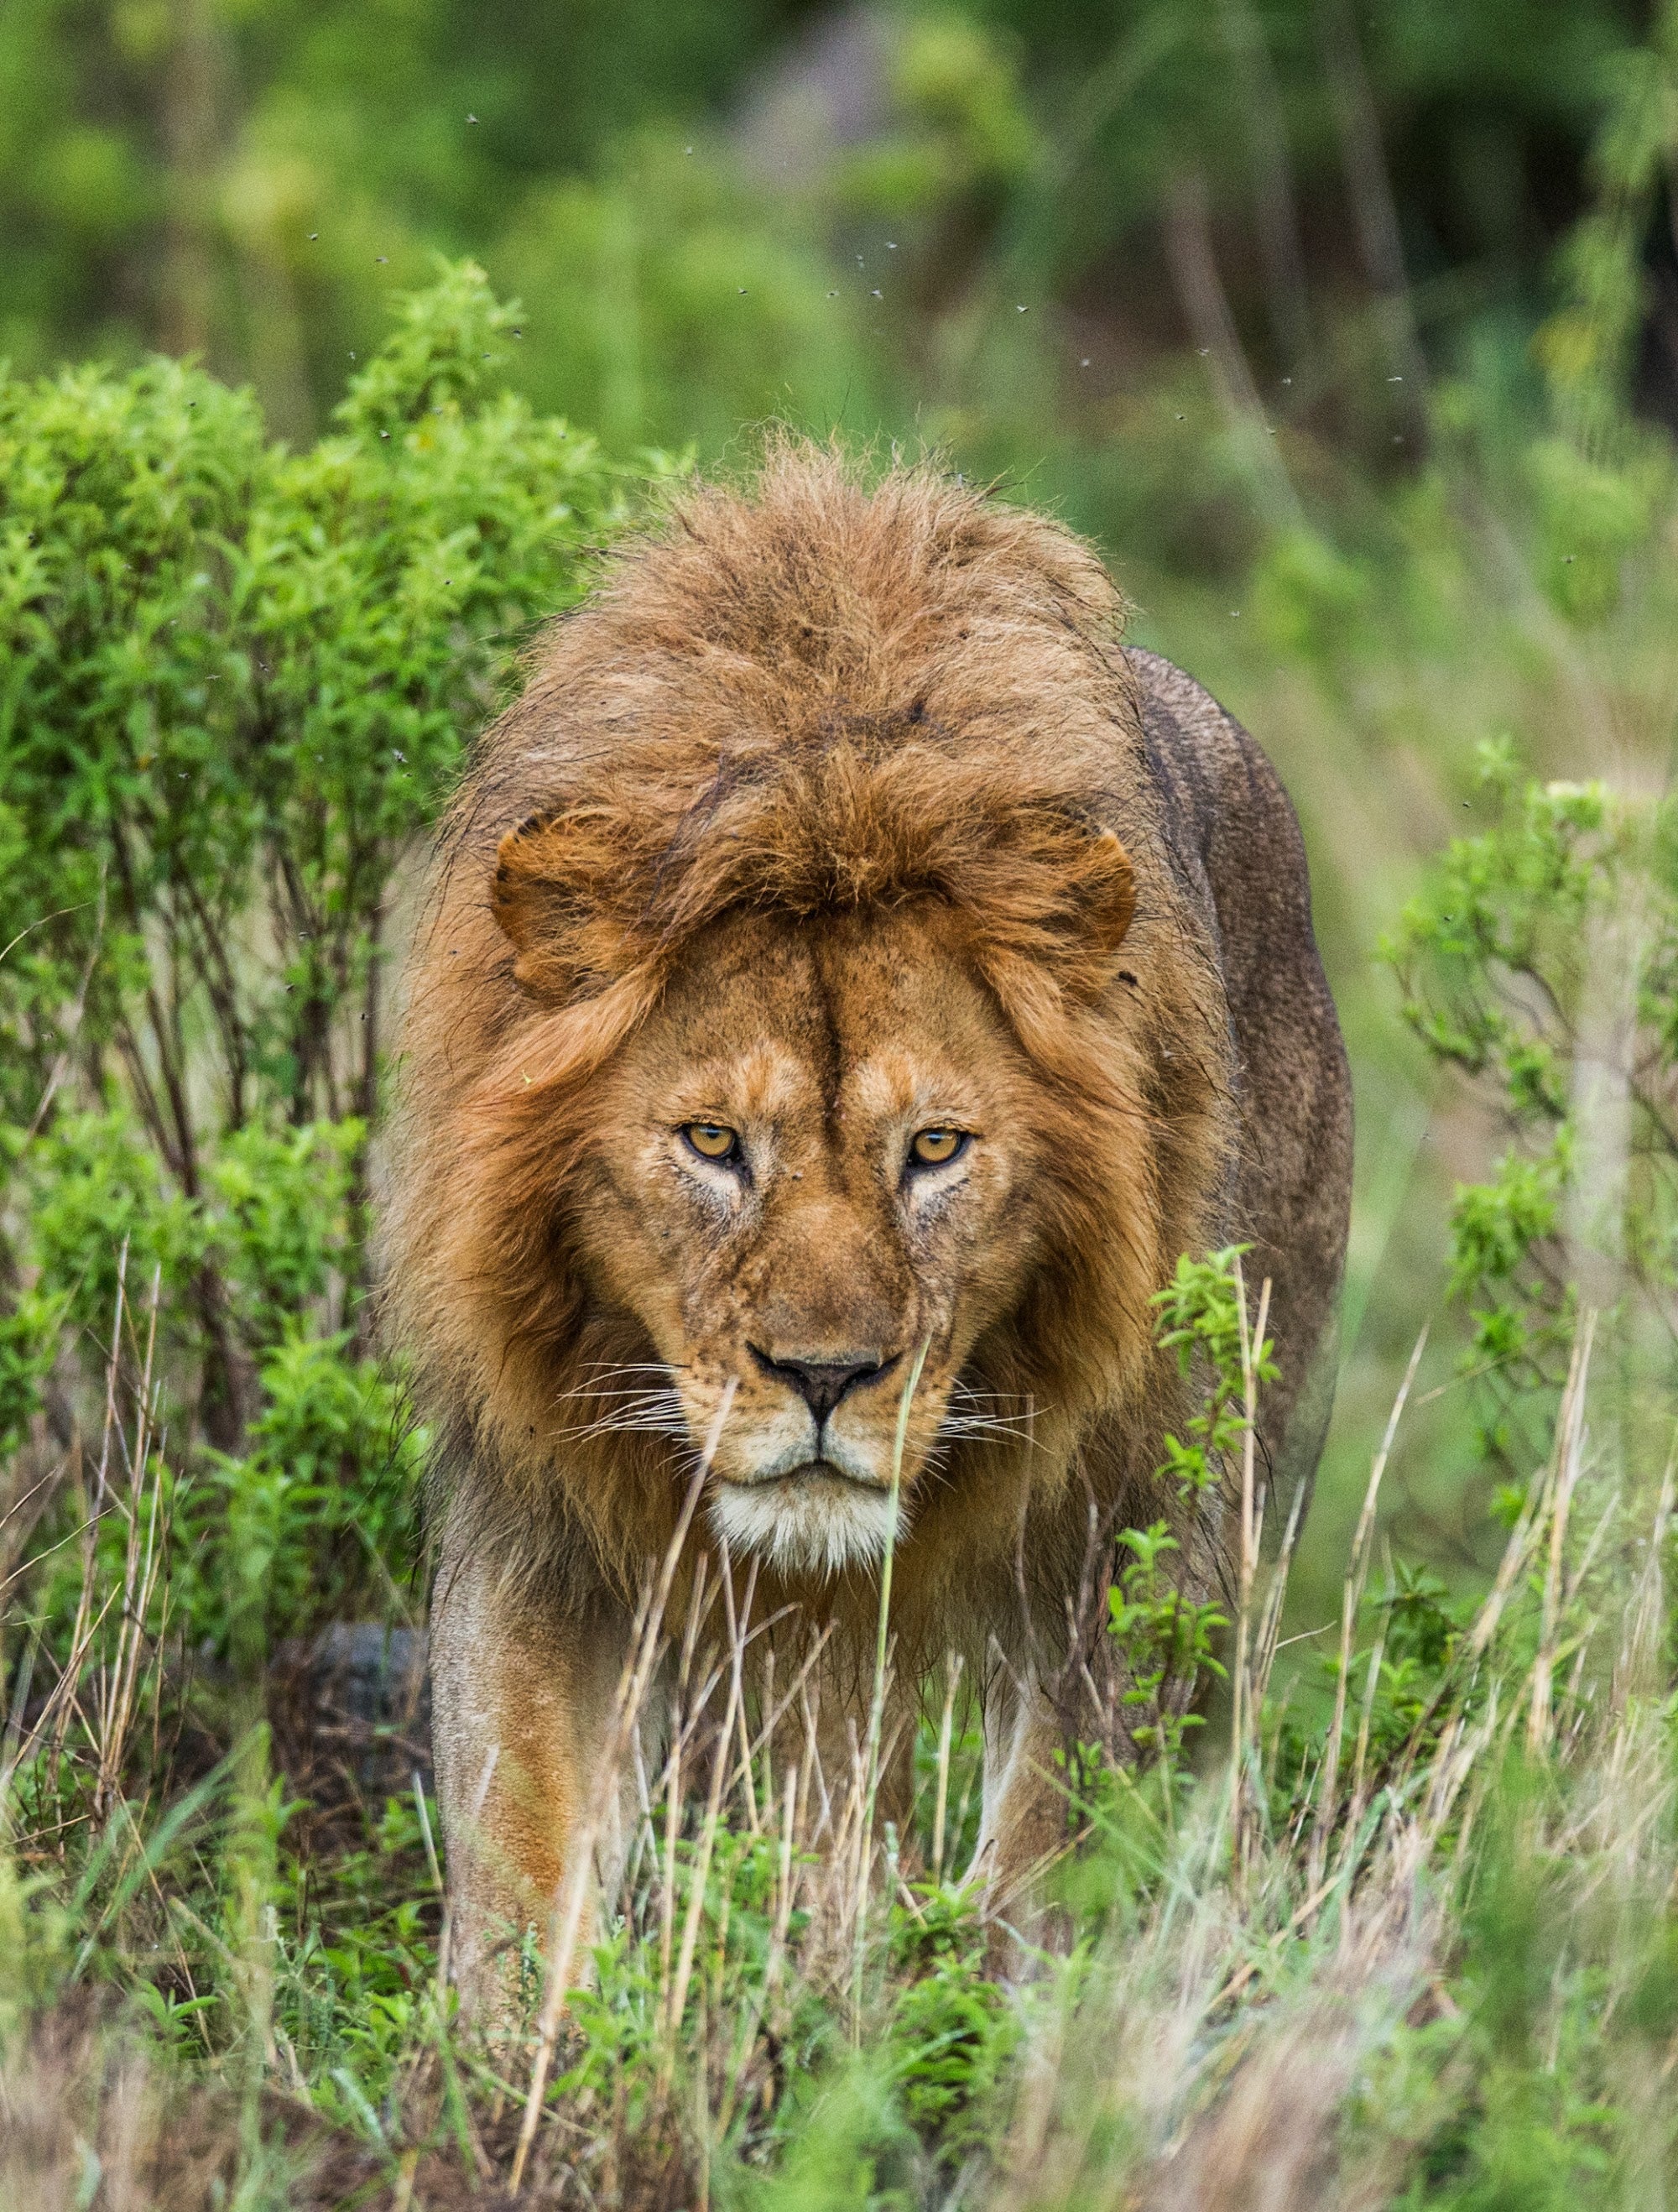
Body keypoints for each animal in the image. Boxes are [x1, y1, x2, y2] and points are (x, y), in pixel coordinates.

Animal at [384, 445, 1352, 2007]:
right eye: (714, 1143)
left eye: (935, 1150)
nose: (827, 1380)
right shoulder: (533, 1512)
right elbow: (515, 1826)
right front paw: (511, 2054)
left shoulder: (1135, 1528)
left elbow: (1054, 1844)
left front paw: (992, 2034)